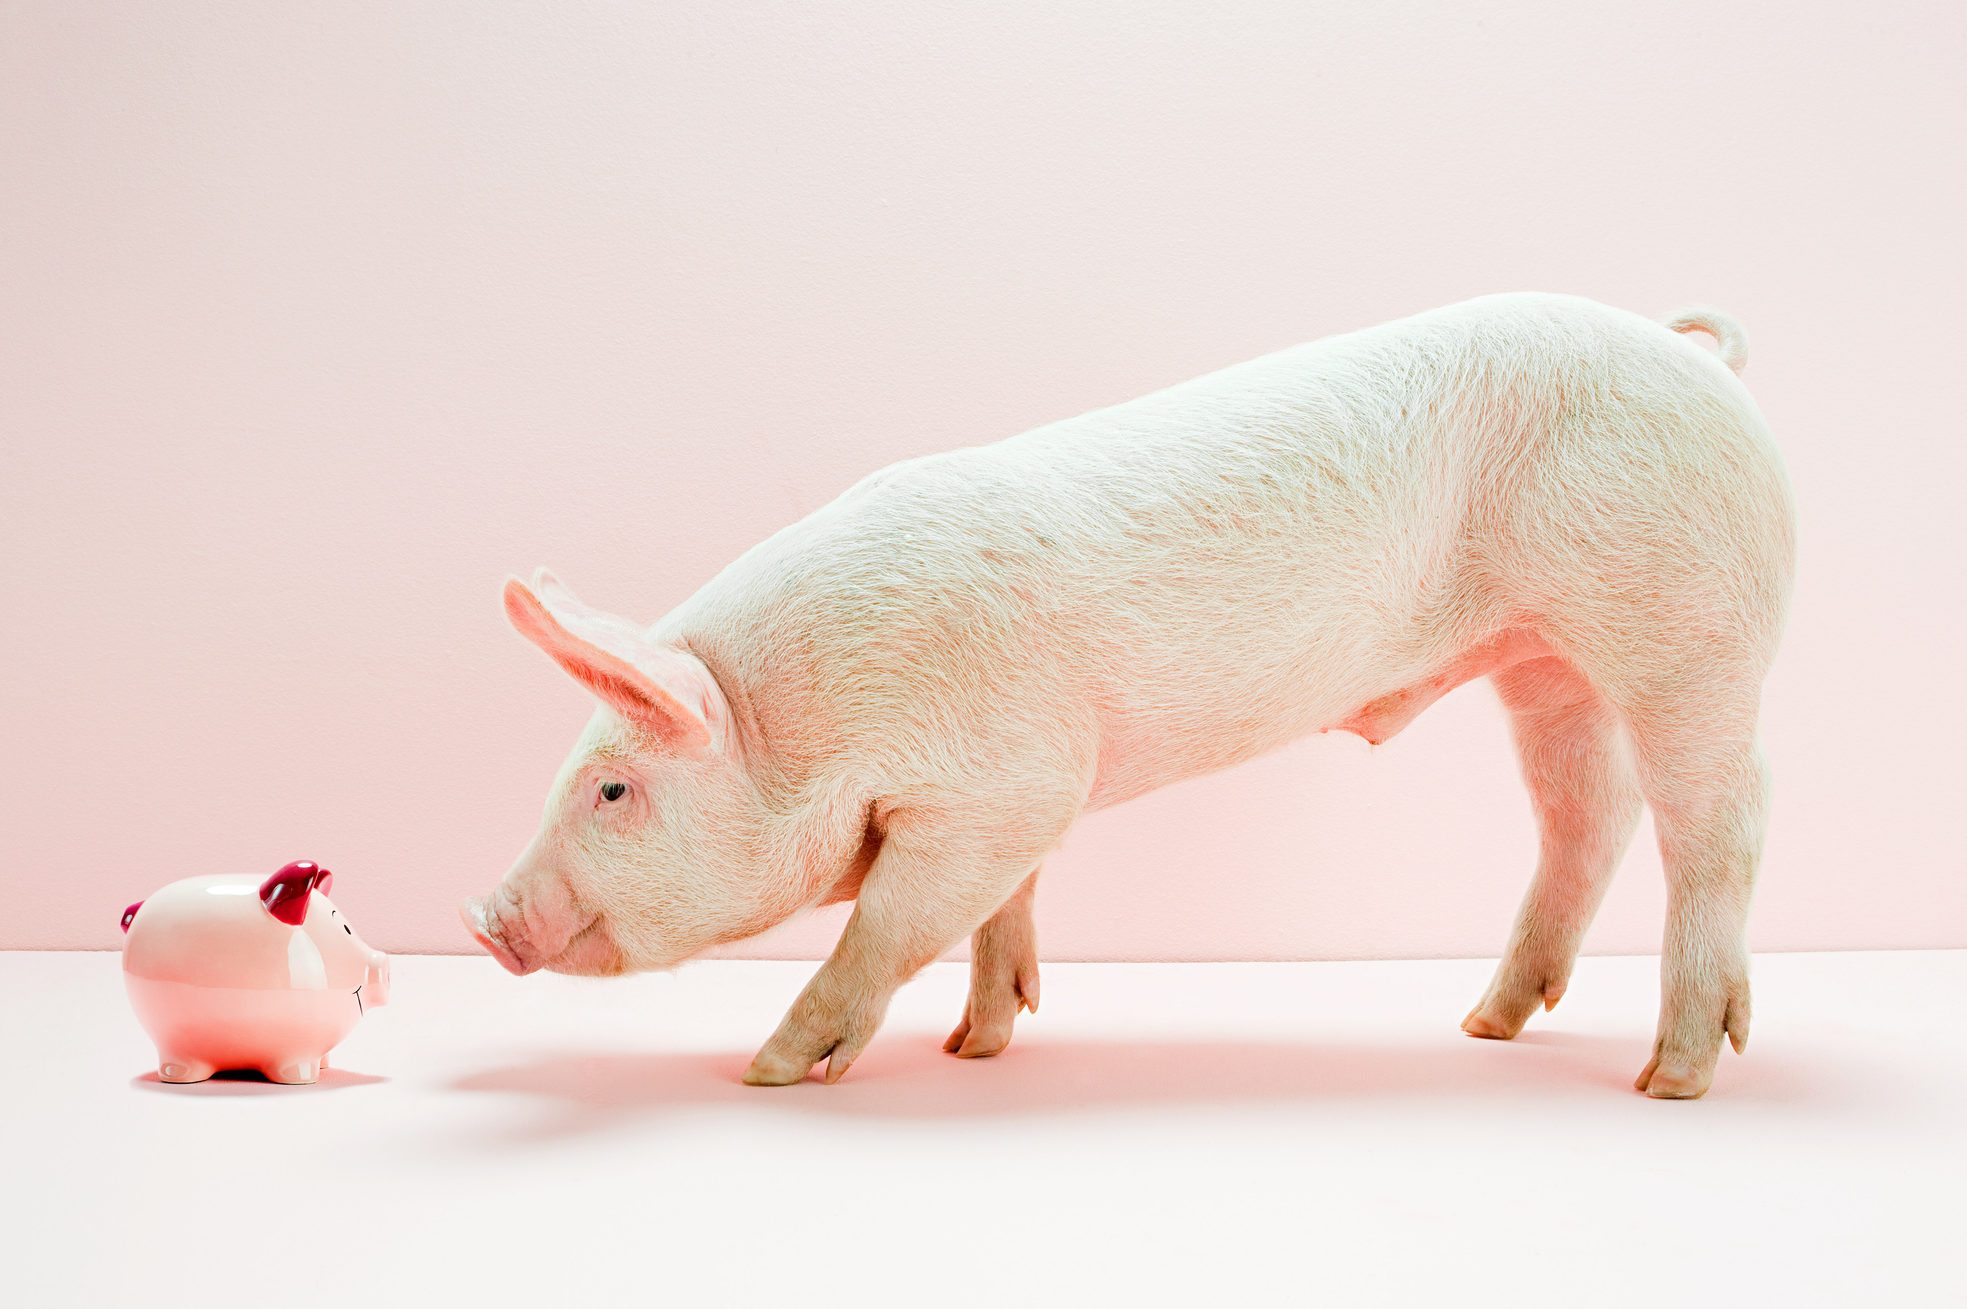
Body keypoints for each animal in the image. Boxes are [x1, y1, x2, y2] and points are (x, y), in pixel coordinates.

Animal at [462, 292, 1793, 1099]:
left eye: (611, 788)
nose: (479, 914)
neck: (806, 722)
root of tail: (1692, 354)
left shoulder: (1000, 783)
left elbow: (885, 928)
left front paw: (771, 1070)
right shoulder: (1022, 793)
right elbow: (1001, 907)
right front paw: (977, 1045)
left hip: (1689, 628)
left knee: (1718, 819)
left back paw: (1670, 1076)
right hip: (1544, 658)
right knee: (1588, 813)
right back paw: (1484, 1026)